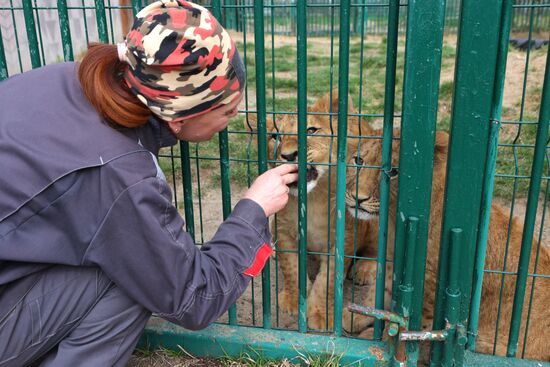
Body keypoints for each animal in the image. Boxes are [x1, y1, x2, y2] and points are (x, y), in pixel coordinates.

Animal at [247, 90, 380, 332]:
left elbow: (327, 280)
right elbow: (291, 268)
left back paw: (364, 270)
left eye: (311, 131)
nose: (288, 155)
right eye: (275, 136)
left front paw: (319, 314)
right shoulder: (283, 229)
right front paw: (293, 301)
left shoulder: (342, 238)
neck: (313, 198)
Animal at [348, 128, 550, 360]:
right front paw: (355, 317)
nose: (358, 198)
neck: (392, 219)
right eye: (359, 161)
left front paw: (385, 344)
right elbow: (383, 291)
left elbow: (411, 323)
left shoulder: (429, 282)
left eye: (394, 172)